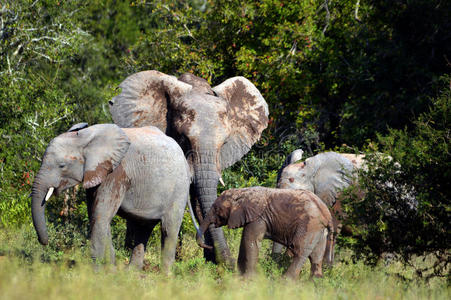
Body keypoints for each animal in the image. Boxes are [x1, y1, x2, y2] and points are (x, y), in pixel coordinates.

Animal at [196, 188, 334, 278]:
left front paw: (249, 279)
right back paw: (315, 282)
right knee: (316, 256)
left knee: (300, 252)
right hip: (319, 230)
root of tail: (327, 214)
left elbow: (251, 240)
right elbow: (245, 241)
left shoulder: (258, 218)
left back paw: (285, 281)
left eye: (216, 208)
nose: (209, 246)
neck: (241, 192)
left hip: (309, 226)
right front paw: (239, 277)